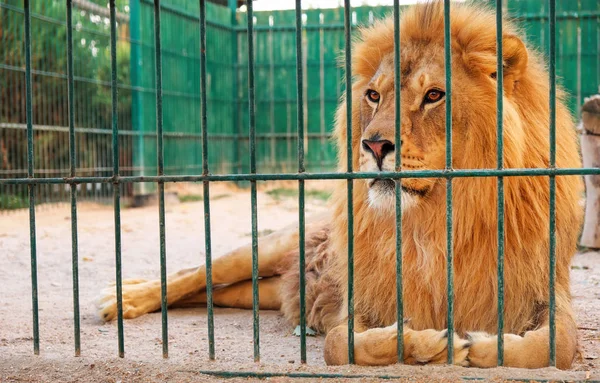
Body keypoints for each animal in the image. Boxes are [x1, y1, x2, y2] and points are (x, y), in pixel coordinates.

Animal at [96, 1, 584, 370]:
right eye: (374, 95)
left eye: (434, 96)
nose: (374, 145)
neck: (440, 218)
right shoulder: (363, 297)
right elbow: (338, 343)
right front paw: (426, 342)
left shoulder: (543, 285)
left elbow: (557, 346)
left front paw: (482, 345)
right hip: (268, 244)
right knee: (191, 274)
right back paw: (124, 298)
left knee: (215, 293)